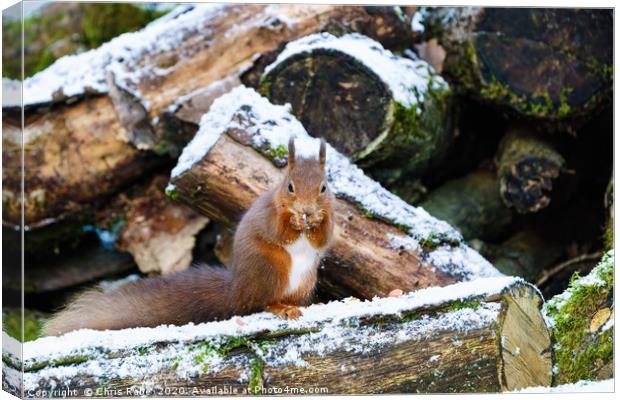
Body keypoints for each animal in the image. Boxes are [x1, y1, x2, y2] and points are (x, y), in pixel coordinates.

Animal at [43, 139, 334, 336]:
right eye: (289, 186)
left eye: (323, 187)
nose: (307, 210)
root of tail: (237, 291)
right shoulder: (269, 214)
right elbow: (278, 231)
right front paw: (294, 221)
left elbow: (324, 237)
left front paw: (317, 221)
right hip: (271, 269)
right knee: (261, 303)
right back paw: (280, 308)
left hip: (305, 280)